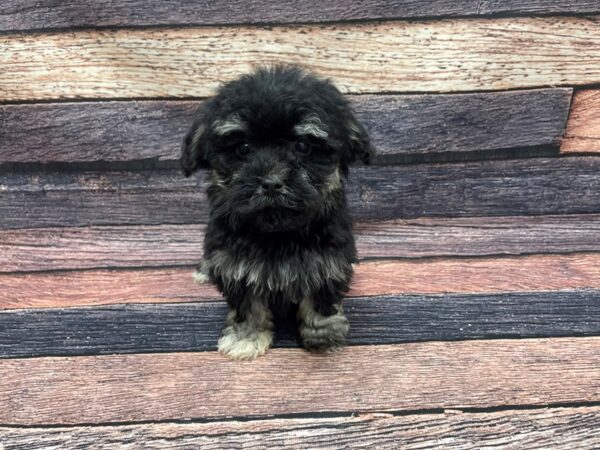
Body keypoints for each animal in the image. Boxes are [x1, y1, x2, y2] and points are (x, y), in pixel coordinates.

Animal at [180, 64, 372, 358]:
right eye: (243, 148)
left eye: (303, 146)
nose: (271, 182)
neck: (278, 234)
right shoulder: (234, 265)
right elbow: (247, 304)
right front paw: (245, 338)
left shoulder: (328, 261)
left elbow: (321, 298)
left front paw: (323, 335)